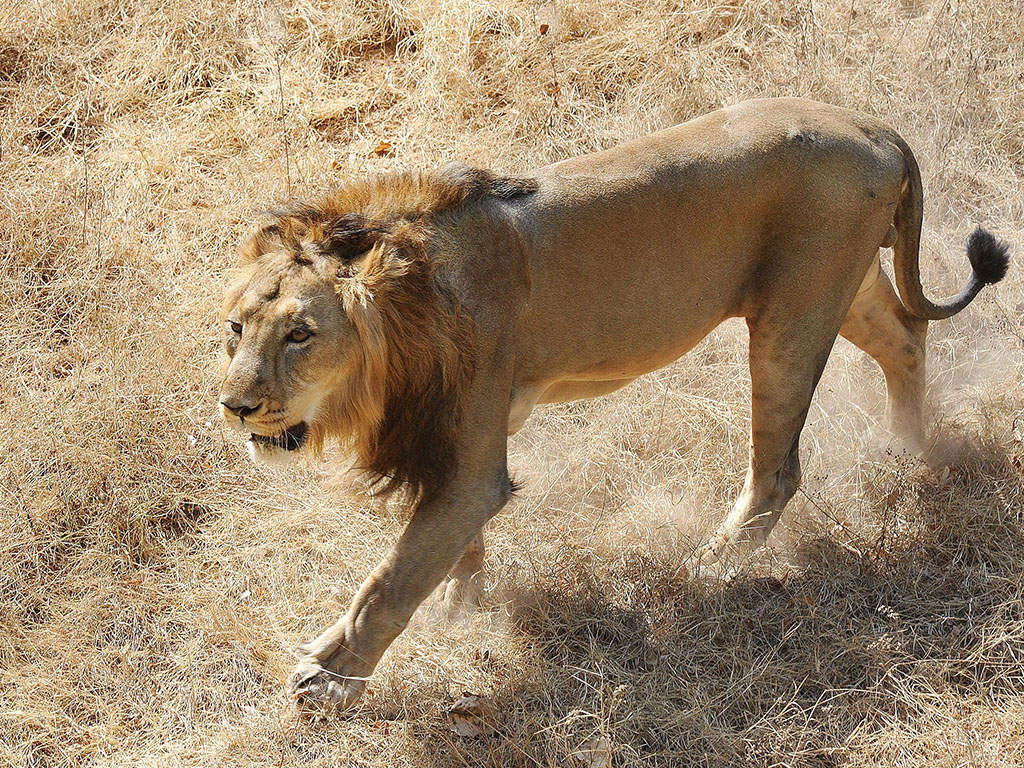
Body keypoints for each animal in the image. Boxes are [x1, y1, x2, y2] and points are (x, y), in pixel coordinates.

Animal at [216, 97, 1007, 716]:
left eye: (300, 334)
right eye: (234, 329)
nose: (234, 406)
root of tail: (870, 124)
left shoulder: (469, 461)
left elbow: (389, 580)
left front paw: (328, 679)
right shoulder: (463, 445)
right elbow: (446, 552)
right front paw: (461, 610)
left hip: (792, 317)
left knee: (779, 469)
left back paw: (713, 562)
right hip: (844, 287)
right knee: (906, 341)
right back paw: (907, 452)